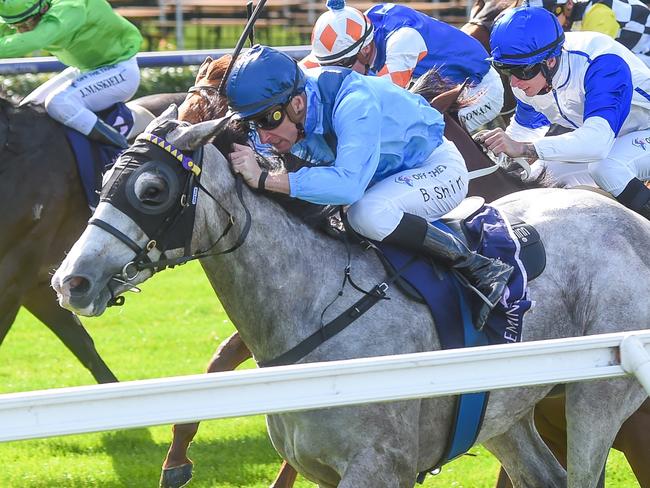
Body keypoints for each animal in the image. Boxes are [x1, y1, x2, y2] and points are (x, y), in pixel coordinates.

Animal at [52, 107, 648, 488]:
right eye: (105, 179)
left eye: (152, 190)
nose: (70, 282)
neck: (318, 307)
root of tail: (632, 223)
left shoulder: (378, 467)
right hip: (503, 411)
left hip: (595, 397)